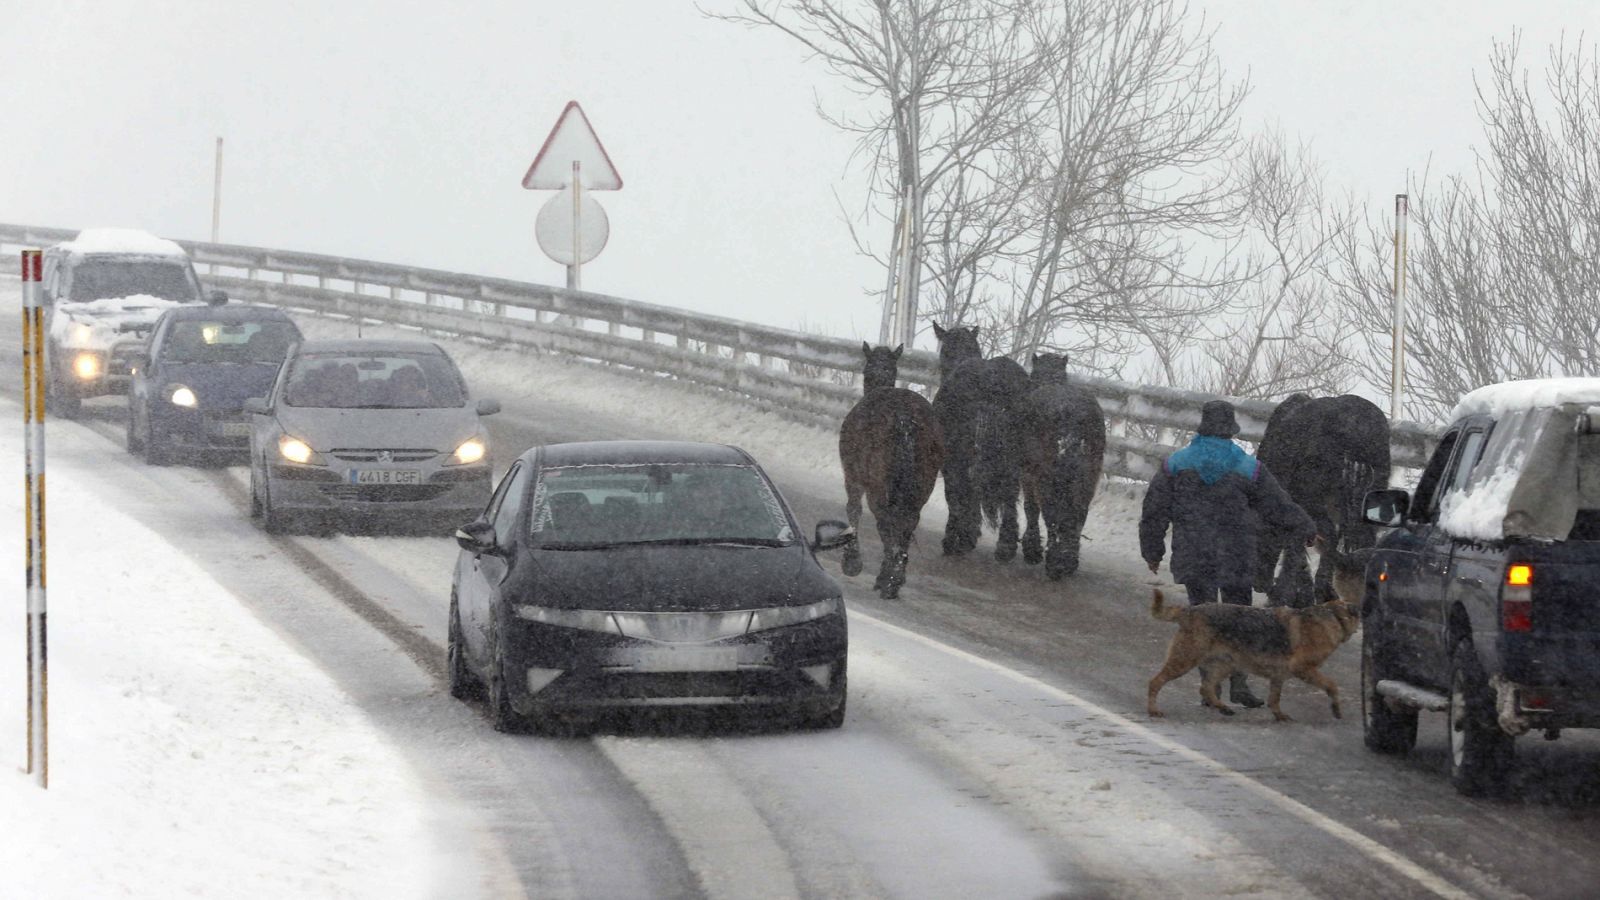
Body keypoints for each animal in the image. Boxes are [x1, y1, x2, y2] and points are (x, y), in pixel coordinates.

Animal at [838, 341, 947, 595]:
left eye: (865, 371)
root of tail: (905, 419)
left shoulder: (853, 477)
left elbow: (853, 509)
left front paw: (852, 561)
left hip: (878, 485)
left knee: (885, 520)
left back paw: (888, 578)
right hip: (923, 485)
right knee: (909, 521)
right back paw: (895, 573)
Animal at [934, 321, 1030, 557]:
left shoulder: (950, 461)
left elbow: (957, 495)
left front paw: (961, 535)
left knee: (963, 490)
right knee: (1010, 492)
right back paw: (1006, 545)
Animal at [1152, 576, 1363, 717]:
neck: (1334, 616)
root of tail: (1189, 611)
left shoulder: (1279, 675)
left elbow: (1274, 699)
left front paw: (1279, 716)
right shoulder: (1303, 668)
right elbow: (1332, 685)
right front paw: (1336, 708)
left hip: (1225, 665)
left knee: (1206, 688)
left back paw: (1222, 707)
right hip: (1184, 660)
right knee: (1155, 682)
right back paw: (1153, 710)